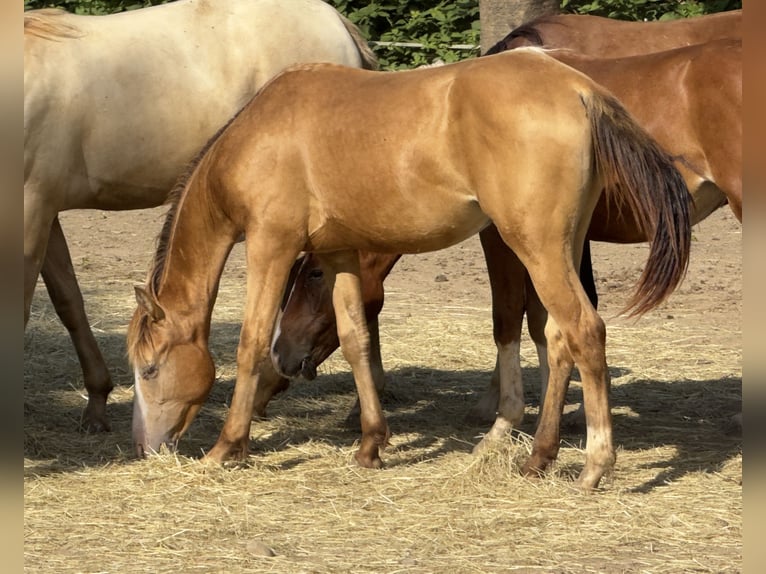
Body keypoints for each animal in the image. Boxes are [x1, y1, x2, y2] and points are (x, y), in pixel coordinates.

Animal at [128, 48, 692, 490]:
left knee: (585, 331)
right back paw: (538, 457)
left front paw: (227, 447)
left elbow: (250, 342)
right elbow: (356, 340)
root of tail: (578, 89)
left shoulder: (271, 245)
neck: (260, 134)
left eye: (150, 368)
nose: (143, 446)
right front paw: (371, 444)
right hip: (561, 248)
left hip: (536, 248)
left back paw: (595, 465)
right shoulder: (340, 254)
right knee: (557, 339)